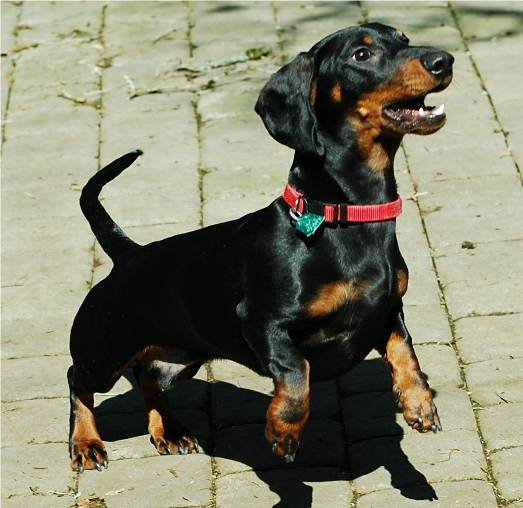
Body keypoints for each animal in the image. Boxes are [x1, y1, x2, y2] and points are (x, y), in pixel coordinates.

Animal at [68, 23, 454, 472]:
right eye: (361, 54)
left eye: (404, 38)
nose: (444, 60)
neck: (344, 216)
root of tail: (129, 254)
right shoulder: (261, 321)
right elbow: (296, 370)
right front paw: (284, 428)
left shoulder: (387, 310)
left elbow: (404, 350)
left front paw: (418, 402)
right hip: (105, 351)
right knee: (78, 380)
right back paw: (86, 443)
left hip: (180, 357)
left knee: (150, 379)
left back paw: (169, 431)